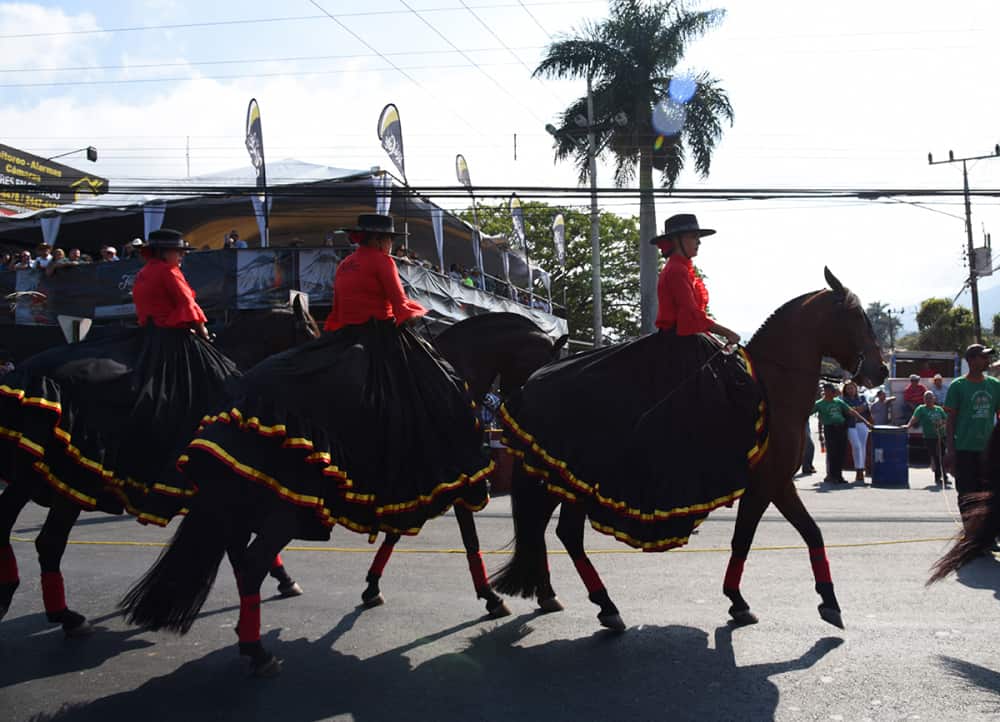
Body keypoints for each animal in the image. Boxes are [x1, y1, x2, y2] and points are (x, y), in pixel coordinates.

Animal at [0, 298, 320, 636]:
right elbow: (239, 546)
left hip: (32, 474)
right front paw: (281, 581)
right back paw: (66, 616)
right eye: (311, 333)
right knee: (50, 541)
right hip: (71, 478)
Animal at [488, 268, 888, 632]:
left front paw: (759, 601)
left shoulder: (770, 486)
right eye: (857, 316)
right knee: (566, 535)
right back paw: (606, 606)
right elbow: (774, 536)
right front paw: (815, 601)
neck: (772, 388)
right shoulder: (771, 484)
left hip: (562, 480)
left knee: (551, 532)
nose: (881, 370)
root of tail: (529, 384)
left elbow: (780, 536)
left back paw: (572, 600)